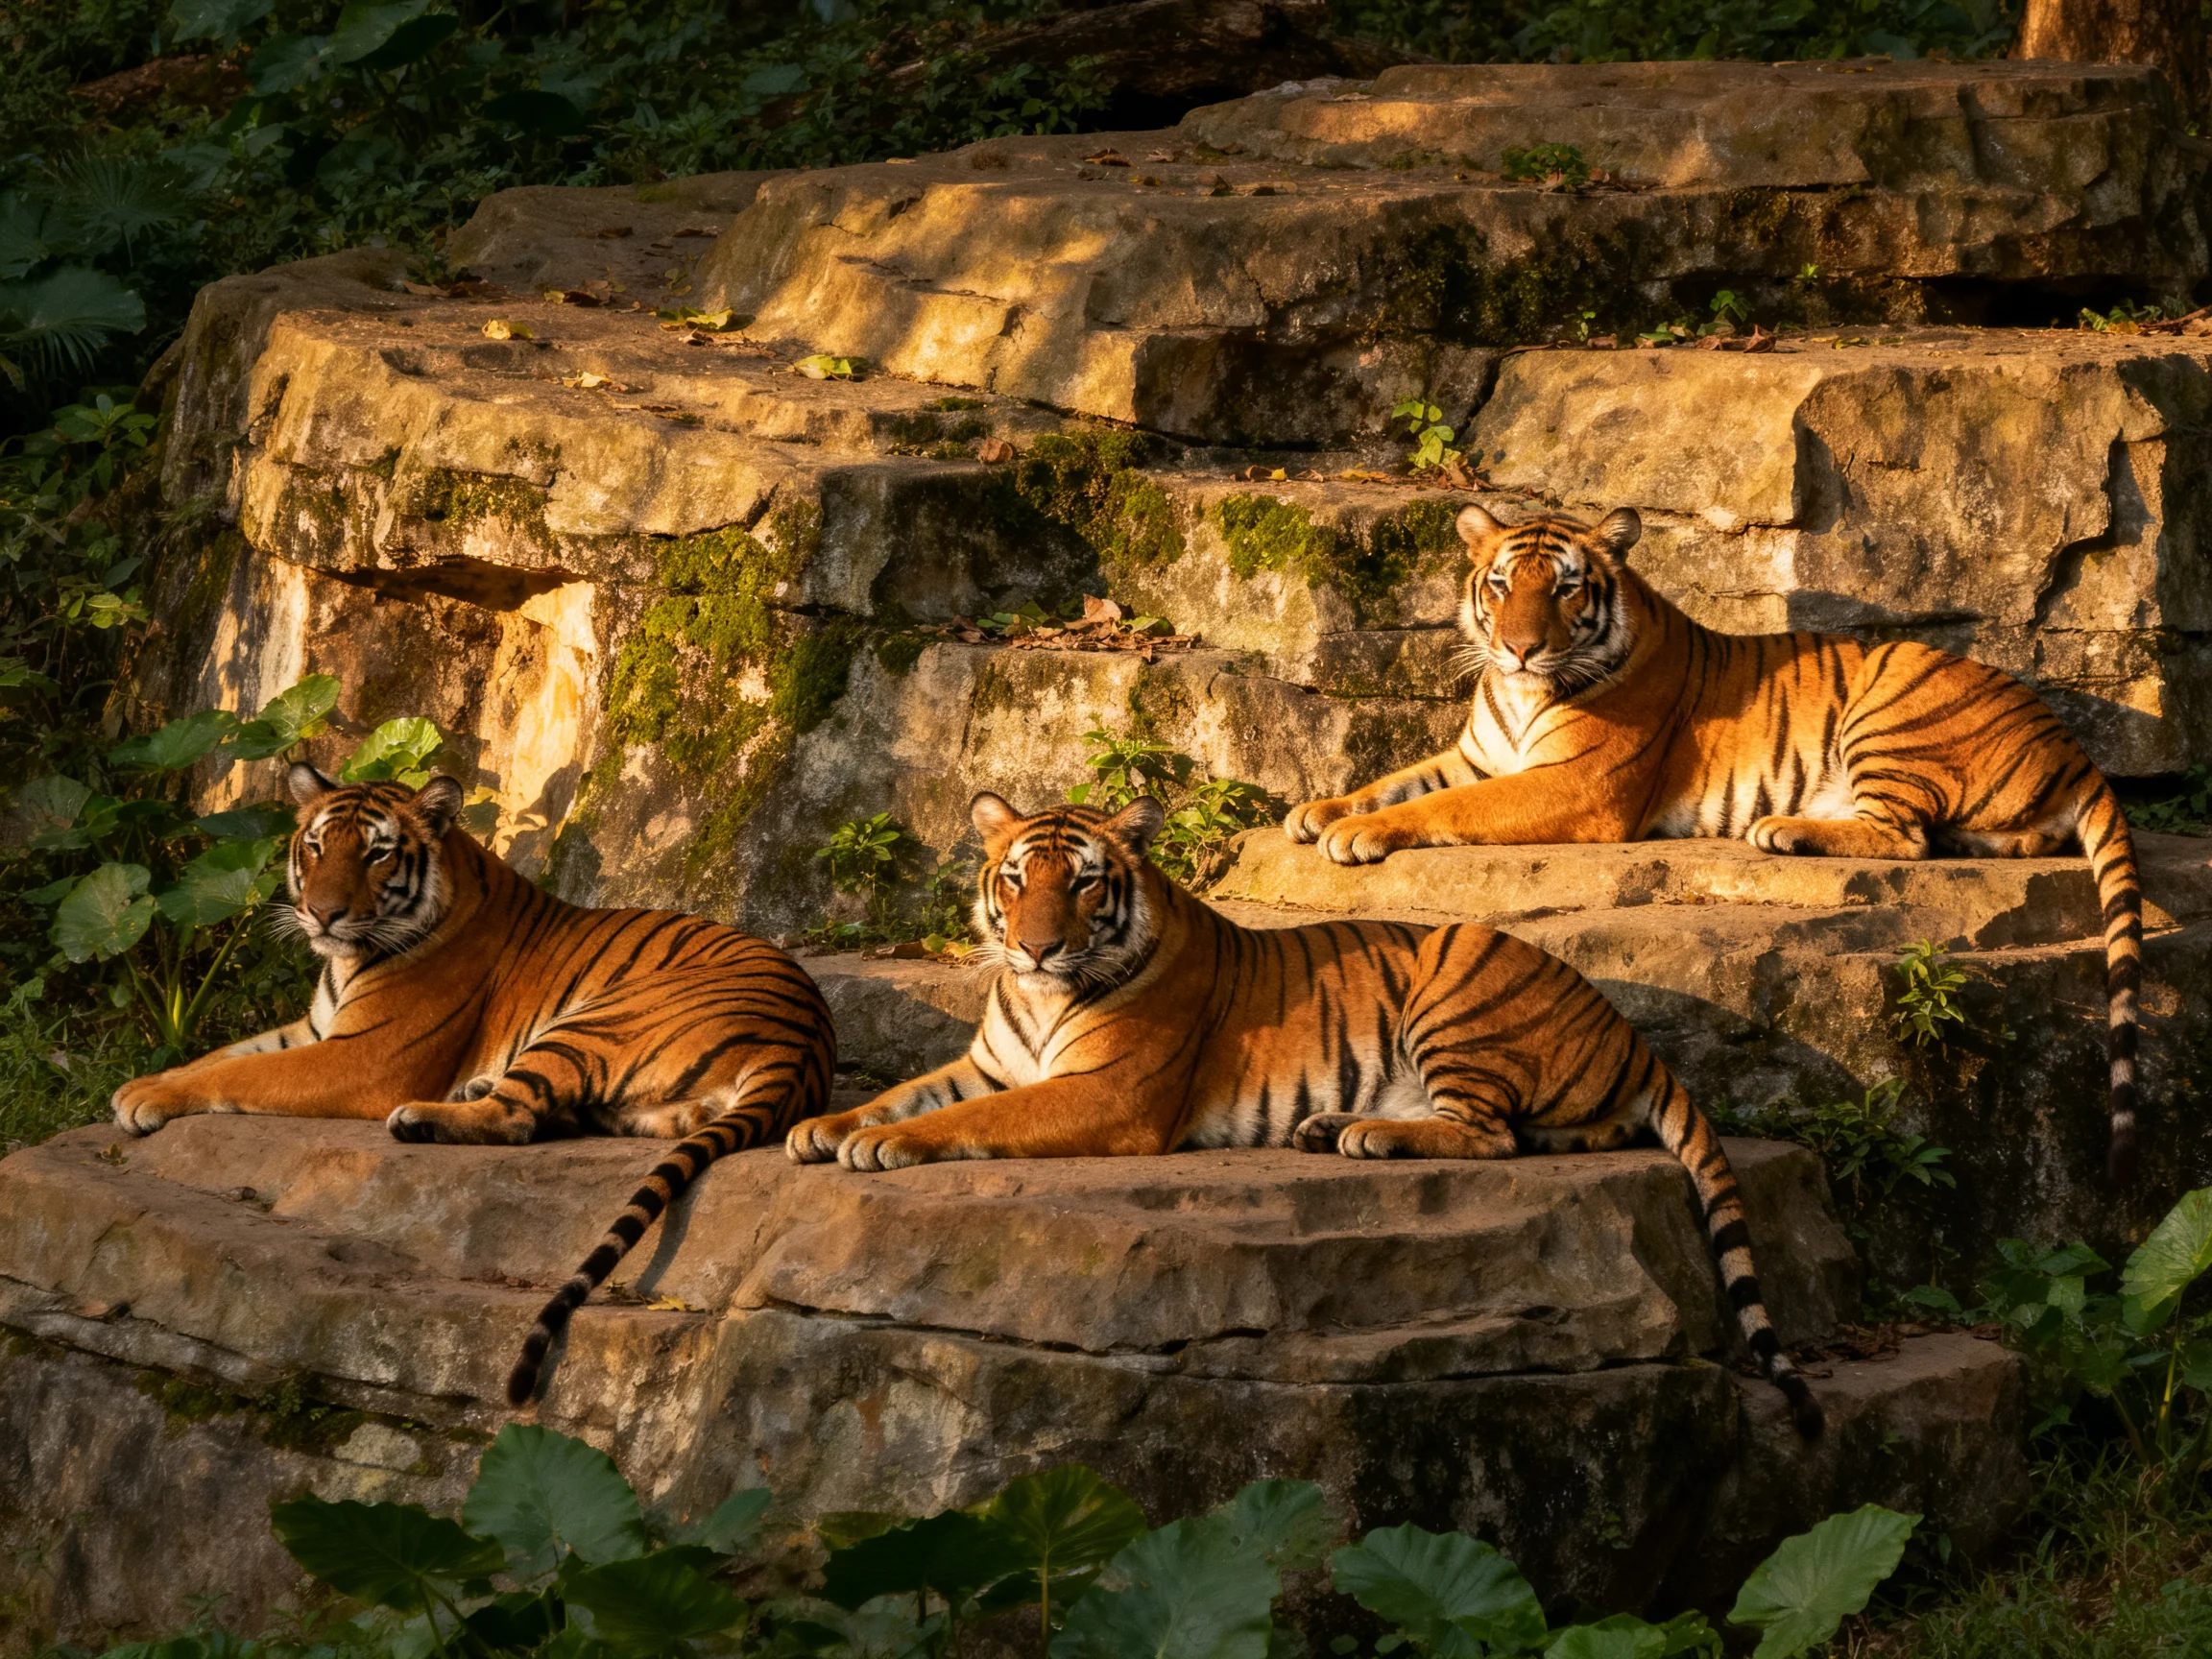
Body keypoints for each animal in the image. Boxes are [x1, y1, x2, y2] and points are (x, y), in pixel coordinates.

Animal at [109, 764, 837, 1407]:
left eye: (376, 854)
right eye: (315, 846)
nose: (321, 914)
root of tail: (804, 1044)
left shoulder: (365, 1056)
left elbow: (239, 1070)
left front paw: (142, 1100)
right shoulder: (314, 1028)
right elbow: (220, 1054)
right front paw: (138, 1084)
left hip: (596, 1019)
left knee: (516, 1119)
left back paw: (423, 1117)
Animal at [786, 791, 1827, 1437]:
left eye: (1082, 881)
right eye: (1014, 878)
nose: (1038, 949)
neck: (1040, 998)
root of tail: (1628, 1029)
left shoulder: (1110, 1094)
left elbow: (957, 1118)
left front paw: (876, 1143)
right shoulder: (985, 1063)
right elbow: (913, 1090)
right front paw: (823, 1126)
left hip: (1455, 974)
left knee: (1490, 1133)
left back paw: (1362, 1133)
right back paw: (1327, 1129)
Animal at [1284, 503, 2145, 1185]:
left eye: (1563, 587)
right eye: (1499, 585)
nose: (1520, 649)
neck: (1520, 692)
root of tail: (2069, 740)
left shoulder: (1577, 786)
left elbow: (1451, 803)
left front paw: (1354, 833)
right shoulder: (1479, 754)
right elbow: (1400, 778)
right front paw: (1315, 811)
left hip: (1891, 700)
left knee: (1905, 837)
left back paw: (1784, 829)